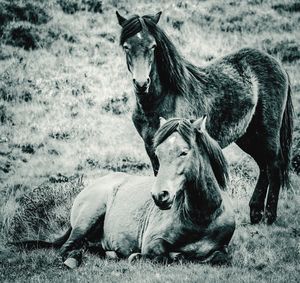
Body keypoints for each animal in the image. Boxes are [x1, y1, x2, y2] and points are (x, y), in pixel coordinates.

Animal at [13, 117, 234, 268]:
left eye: (184, 152)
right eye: (158, 154)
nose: (159, 196)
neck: (202, 216)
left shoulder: (223, 247)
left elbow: (221, 257)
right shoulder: (152, 242)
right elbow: (164, 256)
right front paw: (141, 256)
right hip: (88, 217)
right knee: (67, 248)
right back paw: (74, 259)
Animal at [116, 11, 292, 225]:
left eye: (153, 46)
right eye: (127, 46)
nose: (141, 84)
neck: (160, 99)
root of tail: (276, 63)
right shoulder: (152, 147)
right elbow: (161, 174)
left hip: (268, 132)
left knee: (273, 165)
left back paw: (269, 216)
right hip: (249, 136)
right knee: (263, 166)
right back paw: (255, 213)